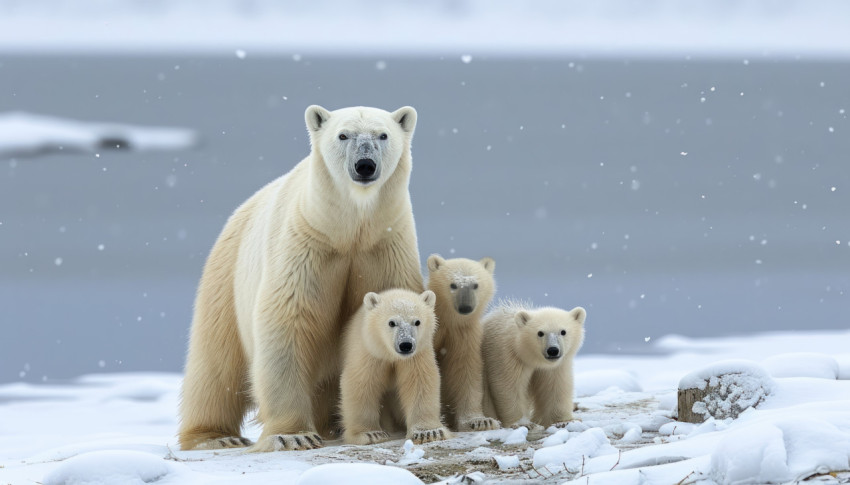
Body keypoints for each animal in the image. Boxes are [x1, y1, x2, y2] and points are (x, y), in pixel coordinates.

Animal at [177, 105, 422, 450]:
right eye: (343, 135)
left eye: (383, 135)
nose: (364, 165)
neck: (349, 231)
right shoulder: (306, 248)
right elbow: (288, 321)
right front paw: (294, 435)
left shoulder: (384, 249)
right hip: (226, 277)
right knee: (217, 364)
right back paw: (216, 436)